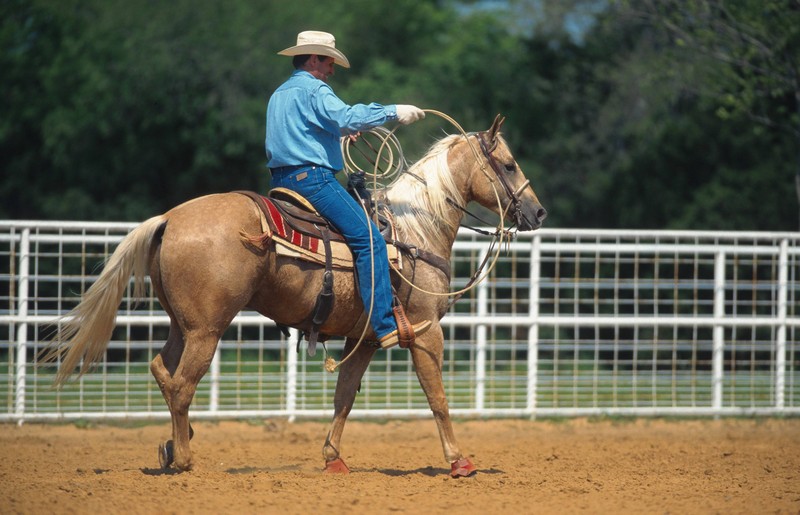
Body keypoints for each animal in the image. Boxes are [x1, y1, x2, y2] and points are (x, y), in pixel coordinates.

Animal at [43, 115, 544, 478]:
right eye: (510, 163)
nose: (538, 211)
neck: (413, 233)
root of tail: (169, 218)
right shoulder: (424, 331)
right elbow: (437, 397)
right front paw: (460, 461)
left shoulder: (364, 339)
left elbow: (344, 396)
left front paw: (333, 458)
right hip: (206, 329)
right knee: (182, 383)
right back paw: (184, 460)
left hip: (182, 325)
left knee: (162, 371)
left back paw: (170, 447)